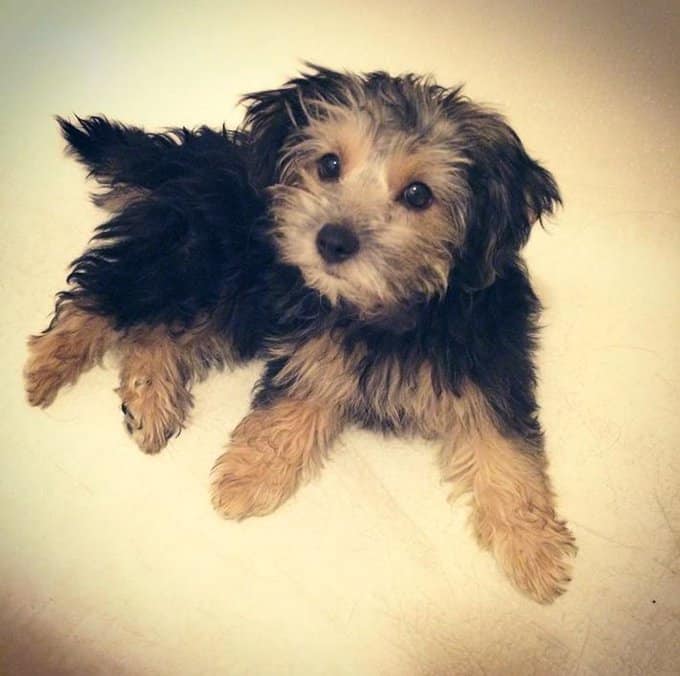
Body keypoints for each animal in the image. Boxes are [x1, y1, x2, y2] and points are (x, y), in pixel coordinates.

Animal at [23, 64, 572, 604]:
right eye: (329, 165)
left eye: (419, 194)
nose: (333, 240)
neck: (391, 308)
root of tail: (185, 157)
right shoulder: (313, 350)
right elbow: (284, 415)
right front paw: (247, 477)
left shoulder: (490, 368)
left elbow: (509, 457)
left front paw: (536, 551)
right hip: (191, 261)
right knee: (102, 297)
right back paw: (50, 363)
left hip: (228, 304)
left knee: (153, 333)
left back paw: (151, 399)